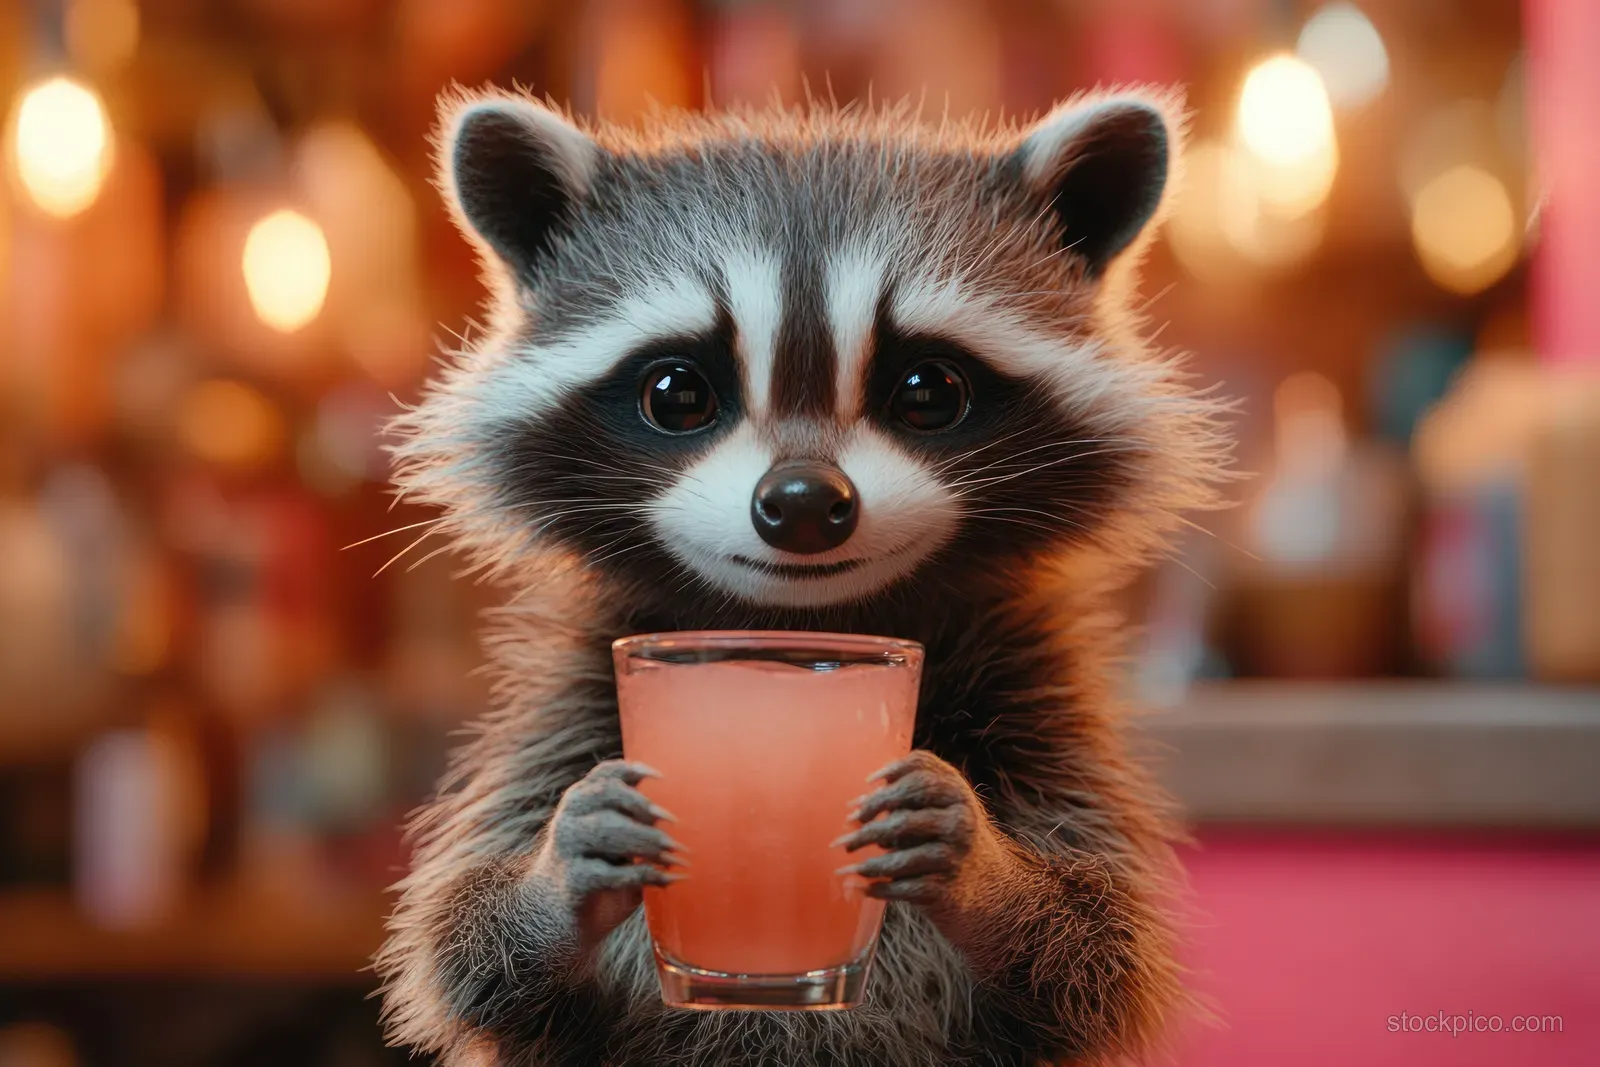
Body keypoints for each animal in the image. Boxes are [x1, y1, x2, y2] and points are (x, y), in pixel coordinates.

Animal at [376, 86, 1229, 1067]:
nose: (803, 503)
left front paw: (988, 872)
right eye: (677, 393)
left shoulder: (1039, 695)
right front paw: (555, 879)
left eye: (928, 390)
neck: (801, 625)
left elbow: (1098, 946)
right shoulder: (569, 699)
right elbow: (469, 952)